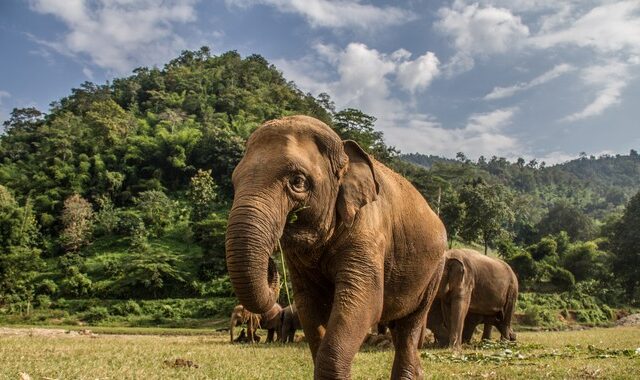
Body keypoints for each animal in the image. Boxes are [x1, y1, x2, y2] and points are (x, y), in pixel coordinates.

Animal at [228, 116, 448, 380]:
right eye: (234, 182)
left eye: (297, 181)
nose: (271, 264)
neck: (344, 151)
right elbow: (309, 305)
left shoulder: (369, 231)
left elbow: (365, 302)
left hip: (435, 271)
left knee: (410, 326)